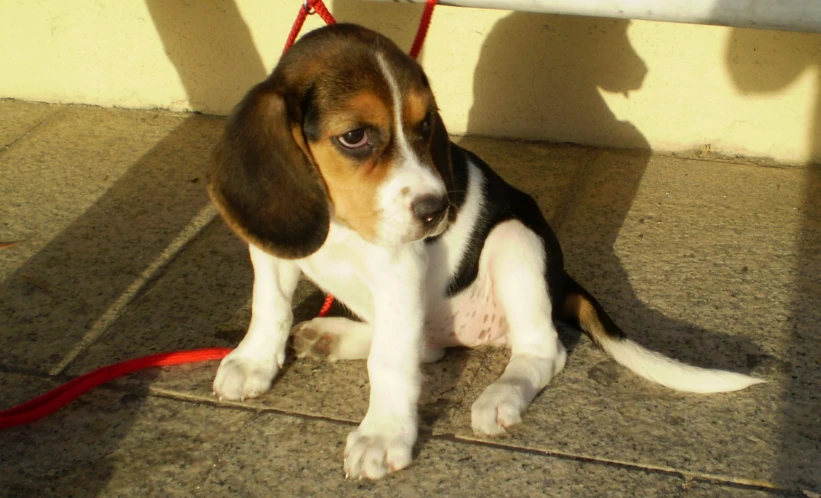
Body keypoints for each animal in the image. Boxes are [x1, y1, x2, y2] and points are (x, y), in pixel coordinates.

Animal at [207, 23, 764, 478]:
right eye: (355, 136)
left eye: (425, 126)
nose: (438, 209)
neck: (342, 224)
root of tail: (562, 277)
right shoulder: (272, 252)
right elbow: (270, 308)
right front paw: (255, 361)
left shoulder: (400, 274)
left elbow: (389, 361)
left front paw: (383, 435)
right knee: (427, 348)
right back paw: (332, 336)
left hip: (514, 242)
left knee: (541, 349)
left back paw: (501, 395)